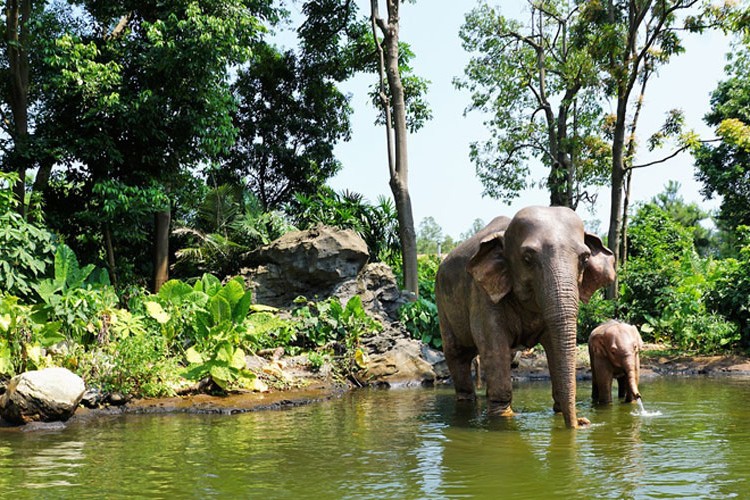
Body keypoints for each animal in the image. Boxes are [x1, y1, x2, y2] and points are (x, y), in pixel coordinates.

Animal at [434, 207, 616, 430]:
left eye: (585, 258)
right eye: (528, 258)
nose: (584, 422)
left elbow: (553, 346)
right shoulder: (482, 295)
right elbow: (494, 347)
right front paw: (503, 417)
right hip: (442, 302)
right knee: (457, 353)